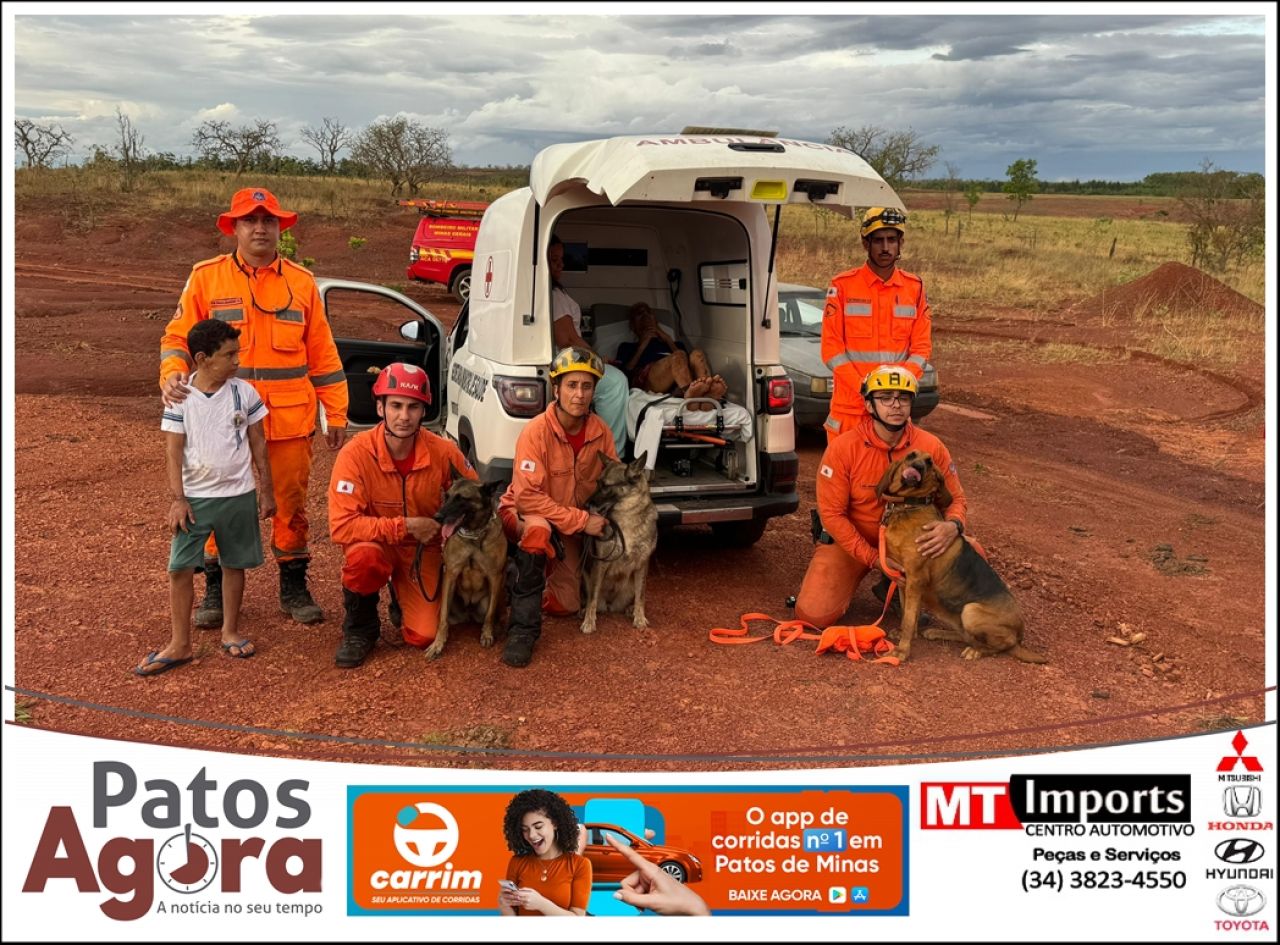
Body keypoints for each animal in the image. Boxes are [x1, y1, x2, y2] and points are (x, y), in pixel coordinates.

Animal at [430, 478, 509, 655]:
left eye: (462, 499)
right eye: (447, 496)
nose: (437, 517)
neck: (474, 535)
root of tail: (469, 613)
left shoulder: (495, 577)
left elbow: (490, 615)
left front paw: (487, 634)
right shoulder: (450, 574)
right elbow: (442, 618)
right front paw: (438, 643)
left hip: (498, 592)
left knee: (497, 611)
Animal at [583, 450, 660, 630]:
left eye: (605, 486)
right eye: (597, 483)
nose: (584, 505)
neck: (626, 518)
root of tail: (611, 605)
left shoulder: (642, 564)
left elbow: (641, 595)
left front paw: (640, 618)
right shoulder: (600, 563)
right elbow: (592, 598)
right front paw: (589, 621)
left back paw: (630, 609)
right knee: (593, 599)